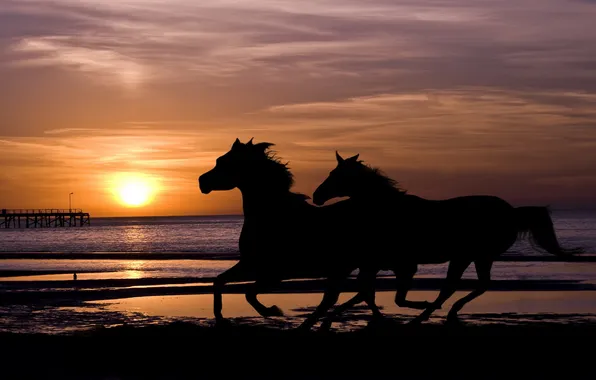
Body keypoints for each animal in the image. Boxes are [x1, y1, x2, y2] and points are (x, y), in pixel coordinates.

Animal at [197, 139, 382, 330]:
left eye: (224, 162)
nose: (201, 181)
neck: (274, 215)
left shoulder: (274, 273)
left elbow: (249, 293)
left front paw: (272, 310)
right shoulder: (249, 264)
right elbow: (219, 281)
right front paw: (220, 319)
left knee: (350, 295)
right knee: (360, 293)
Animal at [312, 151, 584, 326]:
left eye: (336, 174)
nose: (316, 196)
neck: (390, 210)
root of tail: (511, 212)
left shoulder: (403, 264)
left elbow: (391, 296)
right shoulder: (381, 262)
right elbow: (368, 291)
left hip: (471, 256)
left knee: (458, 287)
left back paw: (431, 313)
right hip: (473, 257)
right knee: (471, 285)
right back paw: (444, 312)